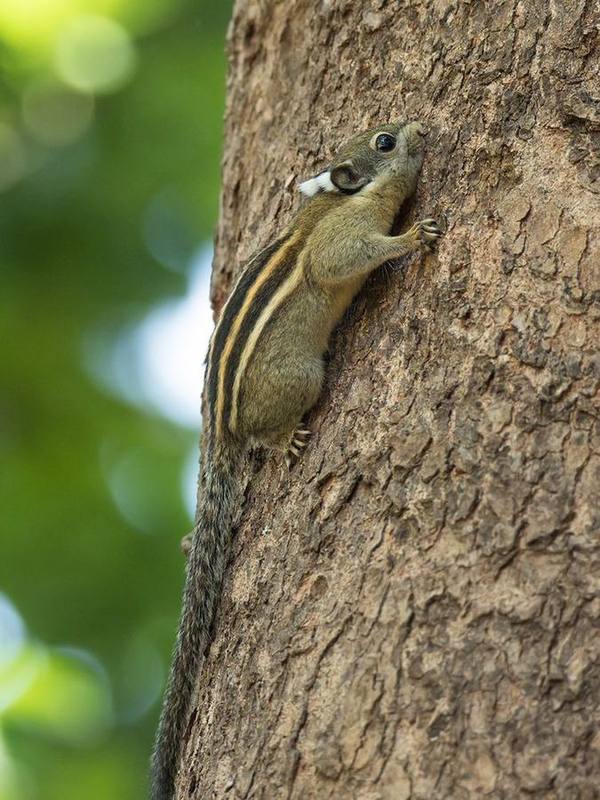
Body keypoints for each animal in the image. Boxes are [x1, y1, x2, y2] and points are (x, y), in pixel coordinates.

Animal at [150, 120, 443, 800]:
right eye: (385, 142)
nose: (421, 128)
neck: (336, 200)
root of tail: (220, 432)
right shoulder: (342, 239)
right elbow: (347, 258)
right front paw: (412, 238)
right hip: (302, 377)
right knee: (265, 434)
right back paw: (284, 440)